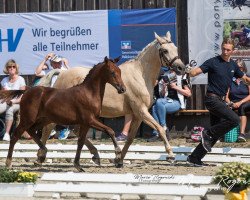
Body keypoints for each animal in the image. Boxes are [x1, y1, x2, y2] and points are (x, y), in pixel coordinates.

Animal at [43, 31, 186, 167]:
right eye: (165, 50)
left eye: (176, 48)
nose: (181, 68)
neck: (140, 74)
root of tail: (62, 73)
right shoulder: (141, 111)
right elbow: (160, 129)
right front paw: (171, 155)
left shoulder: (138, 115)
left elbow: (130, 139)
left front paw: (119, 160)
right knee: (48, 127)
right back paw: (41, 156)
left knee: (74, 130)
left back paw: (95, 155)